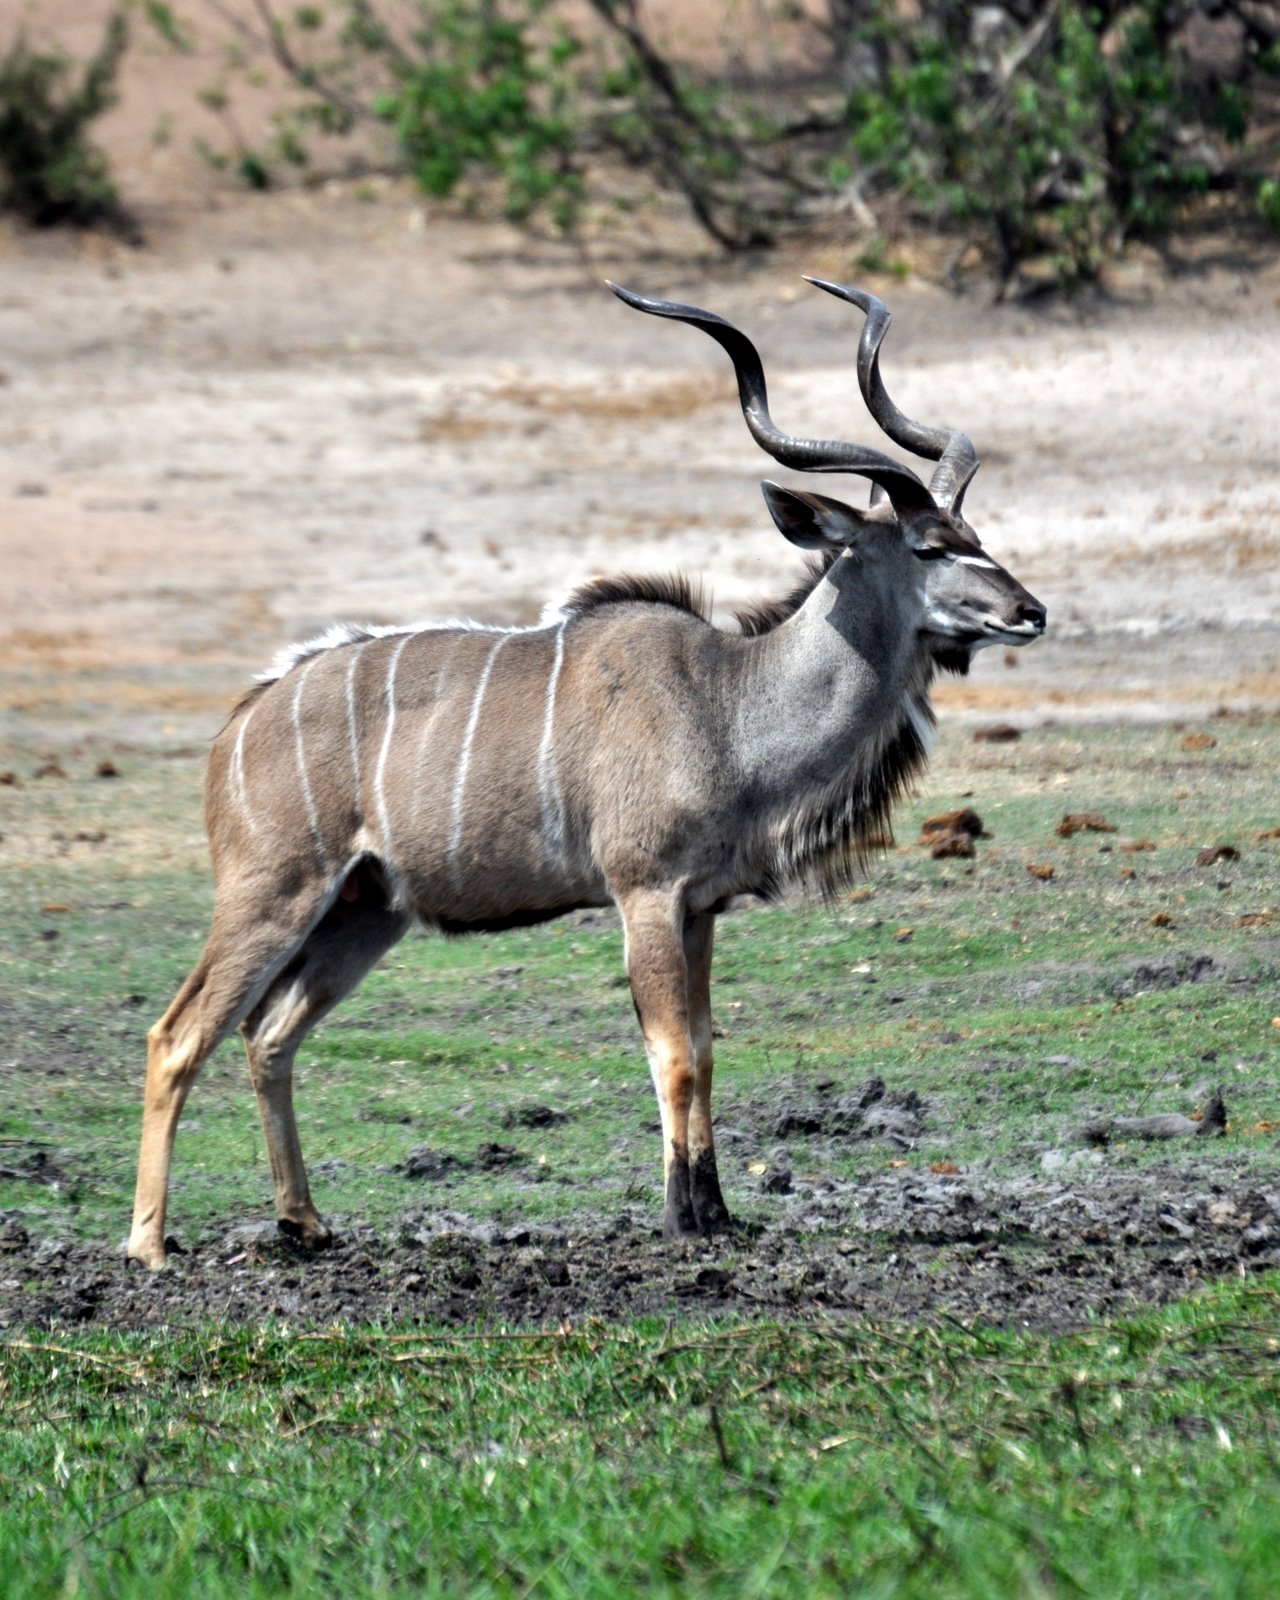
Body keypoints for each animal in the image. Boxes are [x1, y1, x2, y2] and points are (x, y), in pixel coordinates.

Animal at [127, 278, 1046, 1269]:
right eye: (926, 547)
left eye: (974, 532)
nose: (1031, 612)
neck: (727, 702)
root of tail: (242, 720)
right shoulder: (645, 892)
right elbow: (671, 1054)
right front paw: (681, 1220)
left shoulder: (700, 907)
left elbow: (707, 1049)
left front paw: (718, 1212)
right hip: (273, 891)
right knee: (179, 1033)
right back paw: (148, 1246)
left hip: (364, 910)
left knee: (269, 1035)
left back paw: (303, 1222)